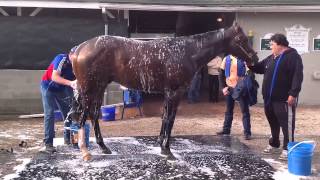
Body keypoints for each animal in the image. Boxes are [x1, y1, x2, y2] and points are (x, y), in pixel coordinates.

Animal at [70, 23, 260, 160]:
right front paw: (167, 150)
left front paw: (161, 144)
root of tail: (79, 49)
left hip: (98, 88)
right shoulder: (174, 93)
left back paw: (103, 147)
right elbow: (170, 119)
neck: (187, 51)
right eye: (241, 39)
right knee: (83, 116)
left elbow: (164, 117)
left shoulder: (168, 94)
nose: (255, 59)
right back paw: (85, 151)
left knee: (94, 115)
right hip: (89, 89)